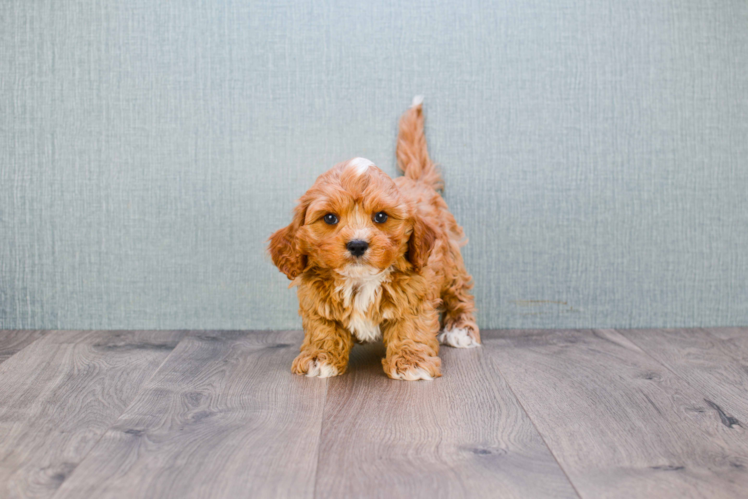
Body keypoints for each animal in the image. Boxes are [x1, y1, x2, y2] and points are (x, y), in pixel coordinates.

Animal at [268, 96, 480, 378]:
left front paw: (412, 362)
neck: (359, 281)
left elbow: (411, 327)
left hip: (451, 260)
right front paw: (319, 357)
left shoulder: (416, 291)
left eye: (380, 217)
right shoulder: (315, 300)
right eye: (330, 218)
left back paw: (460, 329)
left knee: (460, 292)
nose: (357, 244)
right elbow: (322, 328)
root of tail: (417, 181)